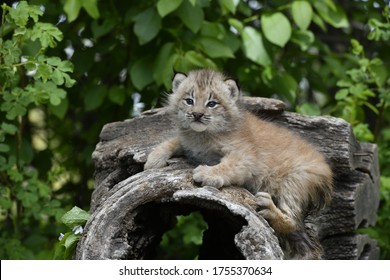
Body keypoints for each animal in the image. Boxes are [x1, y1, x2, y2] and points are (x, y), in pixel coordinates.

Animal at [145, 69, 334, 260]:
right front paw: (154, 157)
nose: (197, 115)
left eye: (212, 103)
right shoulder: (190, 143)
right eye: (189, 100)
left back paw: (269, 209)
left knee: (295, 222)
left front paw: (207, 174)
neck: (202, 135)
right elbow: (175, 140)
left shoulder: (245, 157)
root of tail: (328, 173)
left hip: (294, 180)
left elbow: (227, 166)